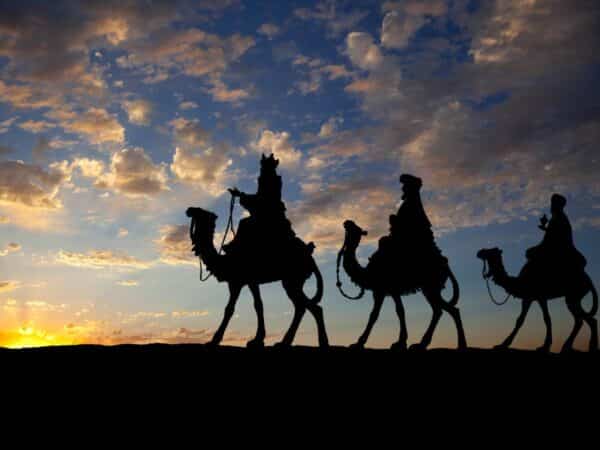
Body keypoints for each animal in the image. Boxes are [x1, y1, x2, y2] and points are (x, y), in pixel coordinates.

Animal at [186, 207, 328, 348]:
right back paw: (286, 342)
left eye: (201, 213)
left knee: (308, 307)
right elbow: (258, 305)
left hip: (293, 280)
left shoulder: (237, 282)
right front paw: (258, 339)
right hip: (293, 280)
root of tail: (310, 255)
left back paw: (319, 342)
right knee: (303, 307)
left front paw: (214, 340)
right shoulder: (250, 282)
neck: (224, 262)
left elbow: (230, 309)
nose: (189, 210)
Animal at [340, 220, 466, 350]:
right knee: (439, 310)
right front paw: (401, 342)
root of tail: (445, 263)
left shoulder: (381, 290)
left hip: (431, 286)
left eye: (355, 228)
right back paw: (422, 344)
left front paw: (358, 343)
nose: (346, 222)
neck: (368, 273)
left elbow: (375, 314)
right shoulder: (389, 291)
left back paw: (460, 344)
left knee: (449, 310)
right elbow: (399, 311)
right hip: (429, 288)